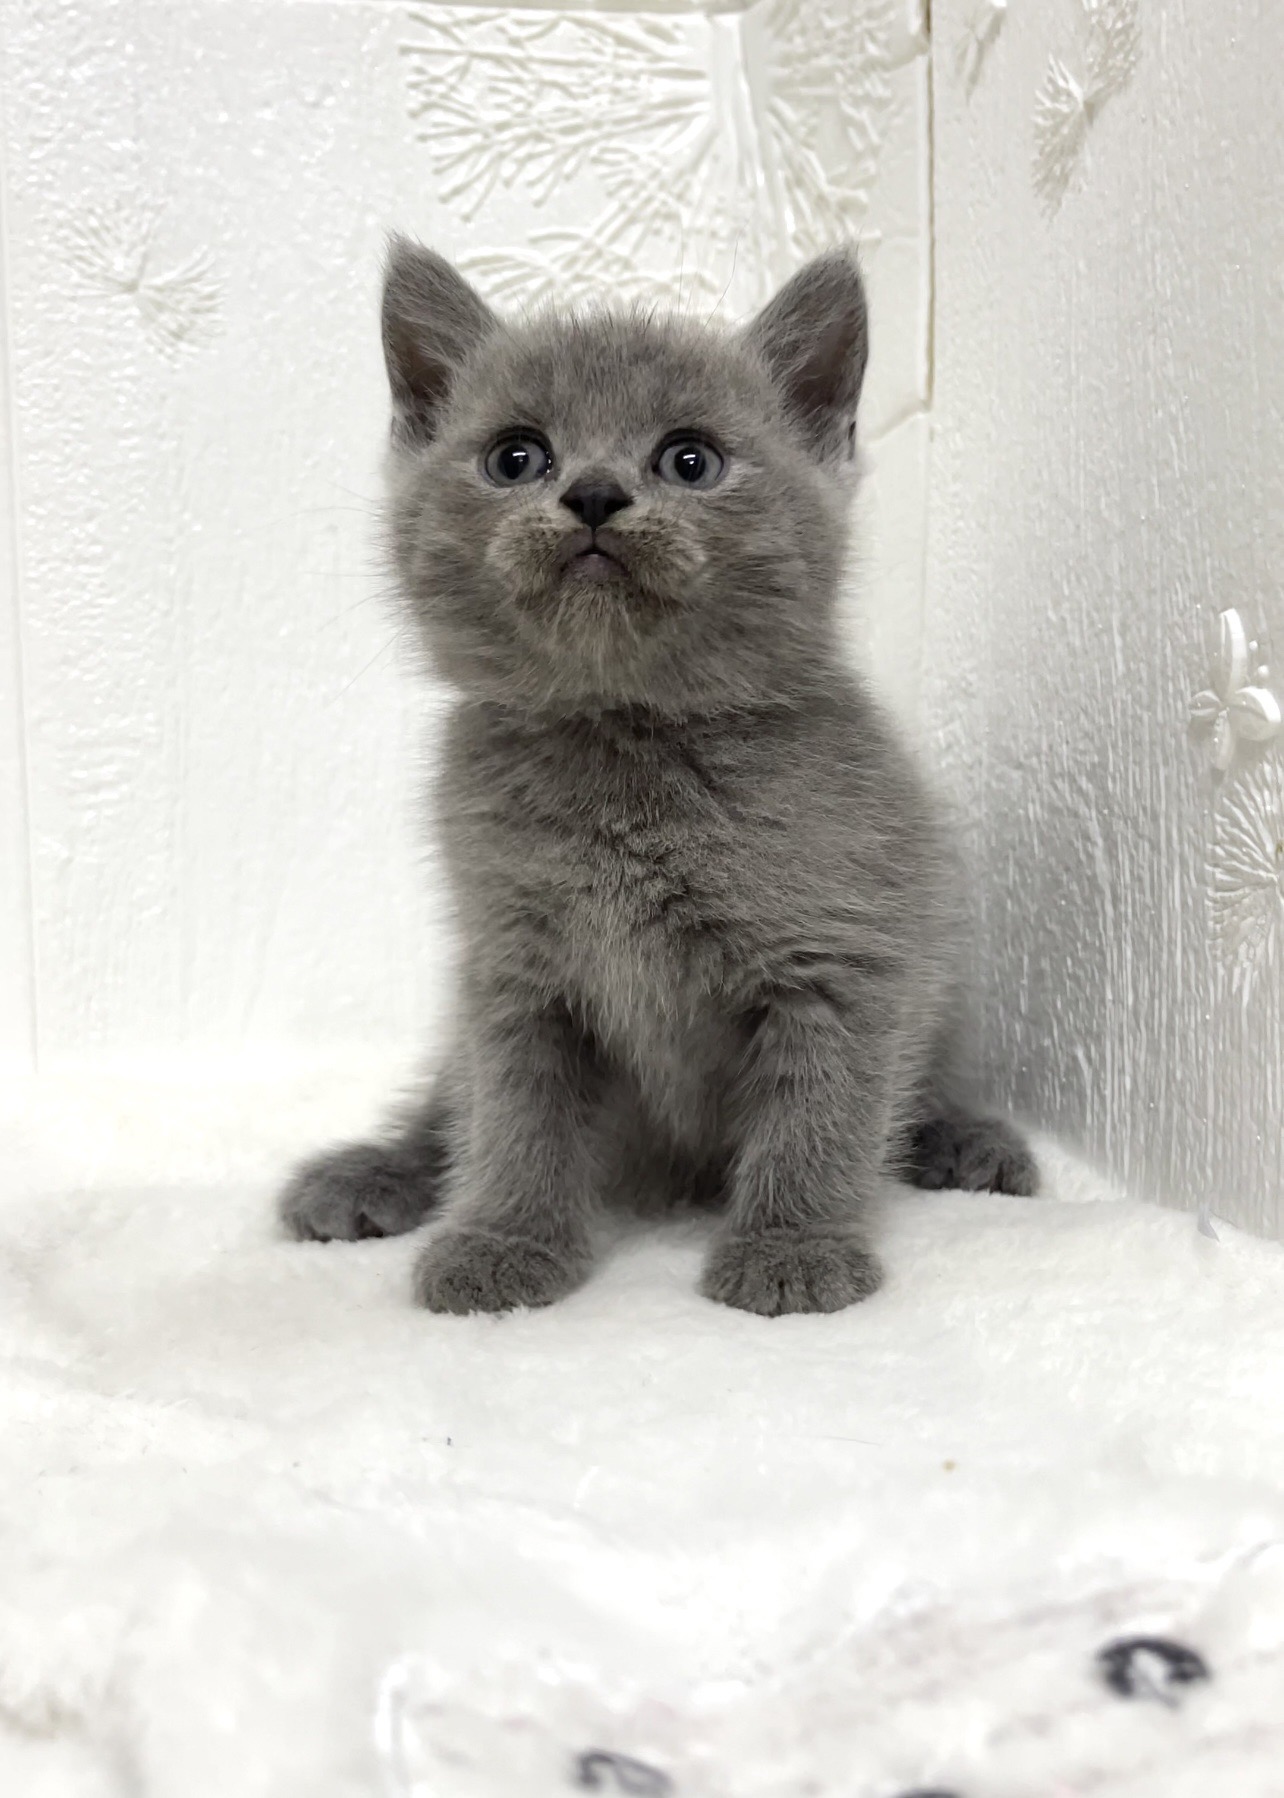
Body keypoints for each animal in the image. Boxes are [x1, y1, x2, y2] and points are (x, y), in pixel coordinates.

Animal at [278, 239, 1037, 1316]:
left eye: (690, 460)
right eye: (516, 457)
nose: (594, 495)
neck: (623, 742)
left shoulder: (846, 956)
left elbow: (822, 1114)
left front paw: (792, 1248)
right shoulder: (512, 968)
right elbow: (510, 1113)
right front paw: (503, 1241)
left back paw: (964, 1140)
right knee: (444, 1103)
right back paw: (373, 1173)